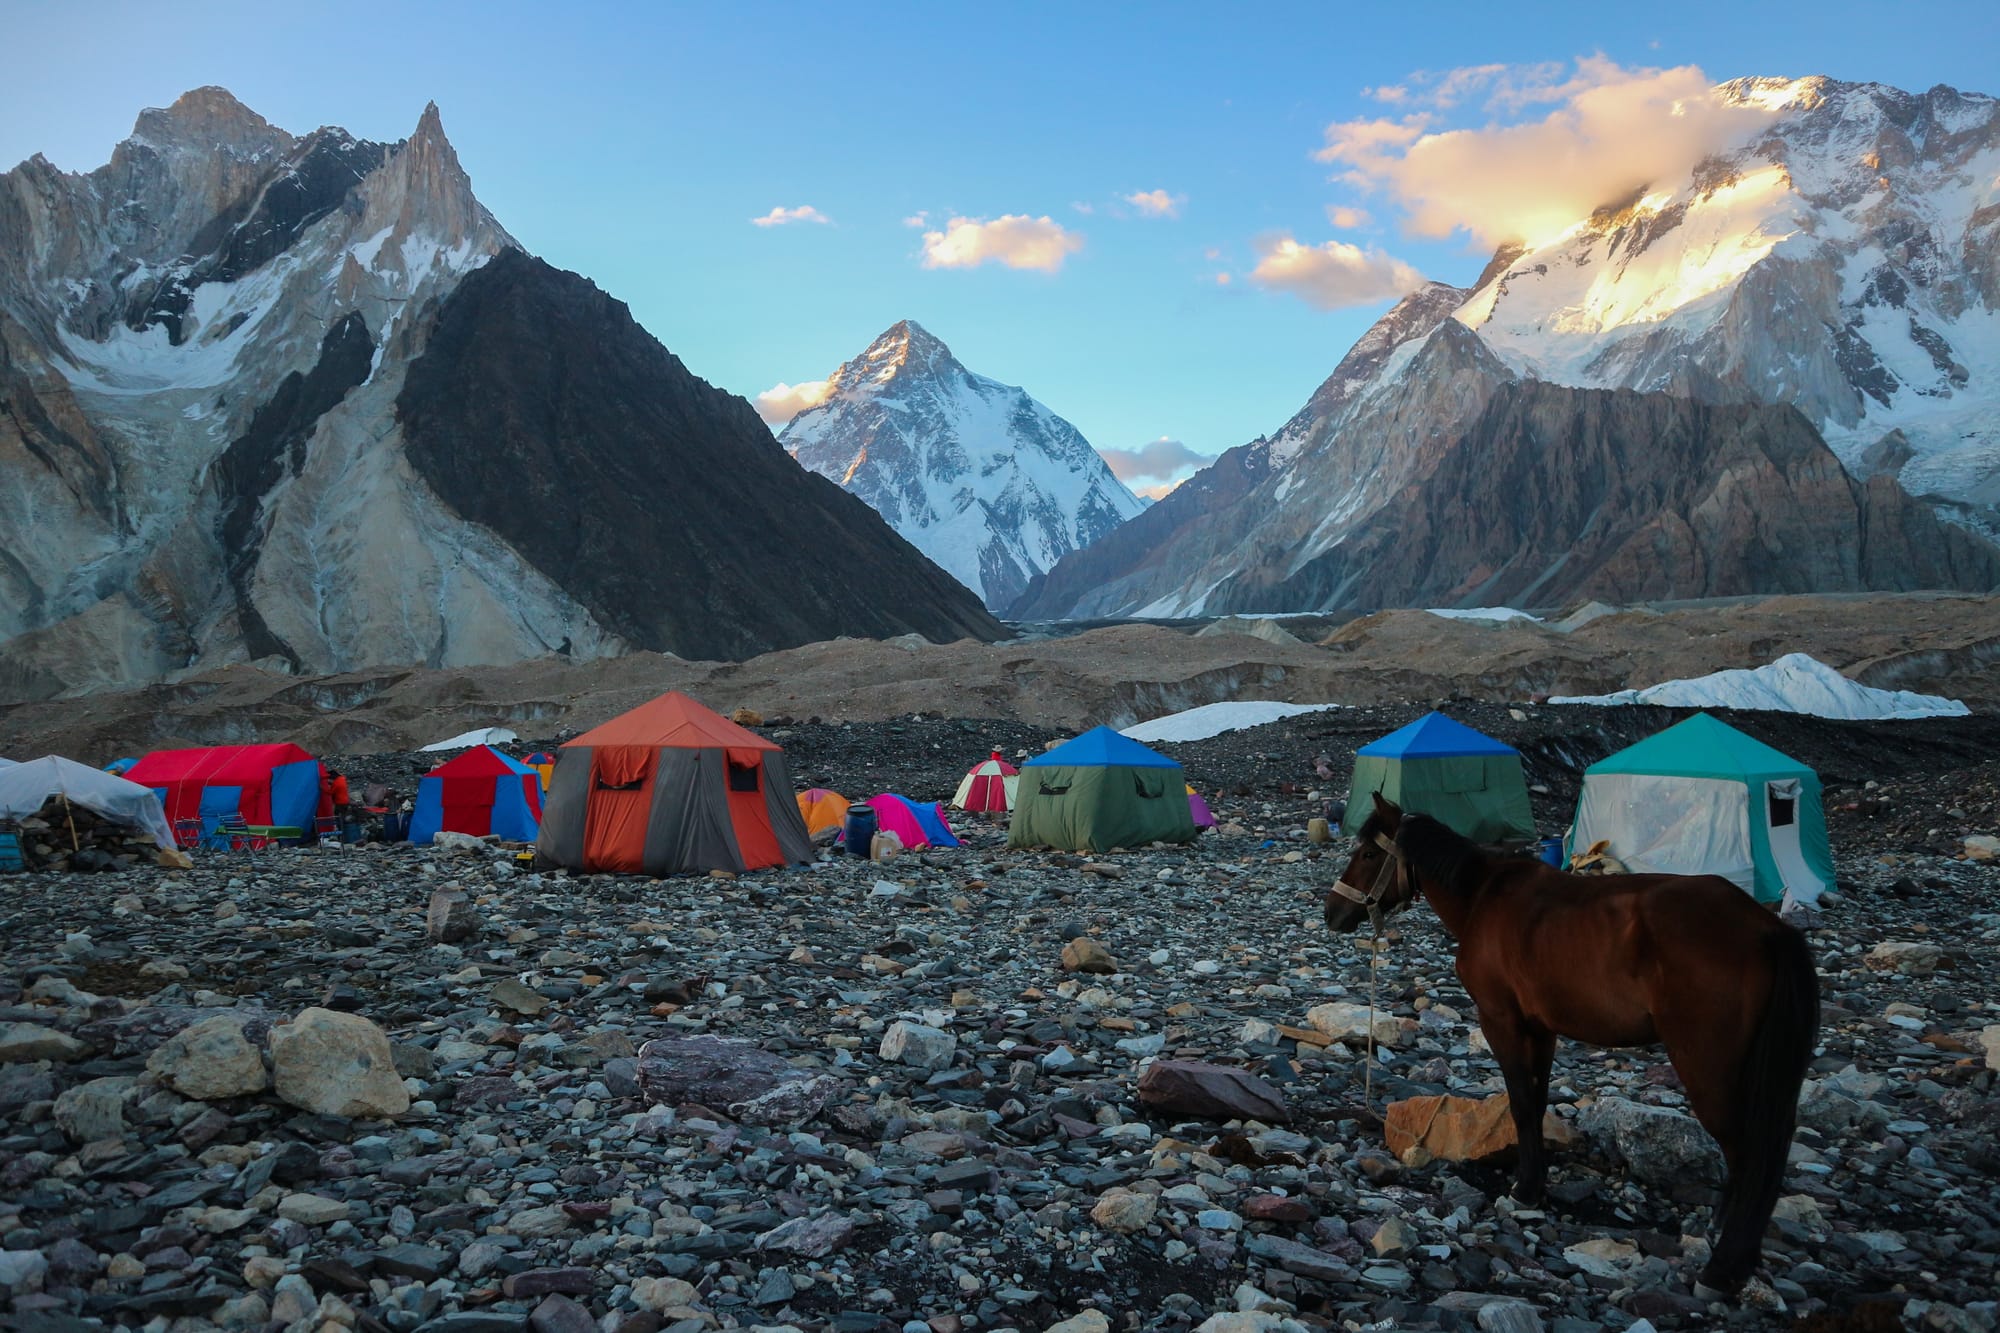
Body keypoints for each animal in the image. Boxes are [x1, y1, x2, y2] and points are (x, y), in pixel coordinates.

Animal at [1336, 788, 1824, 1288]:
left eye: (1369, 853)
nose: (1333, 912)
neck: (1482, 896)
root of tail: (1769, 929)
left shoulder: (1501, 1020)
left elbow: (1520, 1103)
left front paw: (1525, 1190)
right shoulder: (1541, 1029)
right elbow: (1536, 1101)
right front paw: (1534, 1184)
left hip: (1709, 1069)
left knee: (1750, 1154)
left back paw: (1724, 1268)